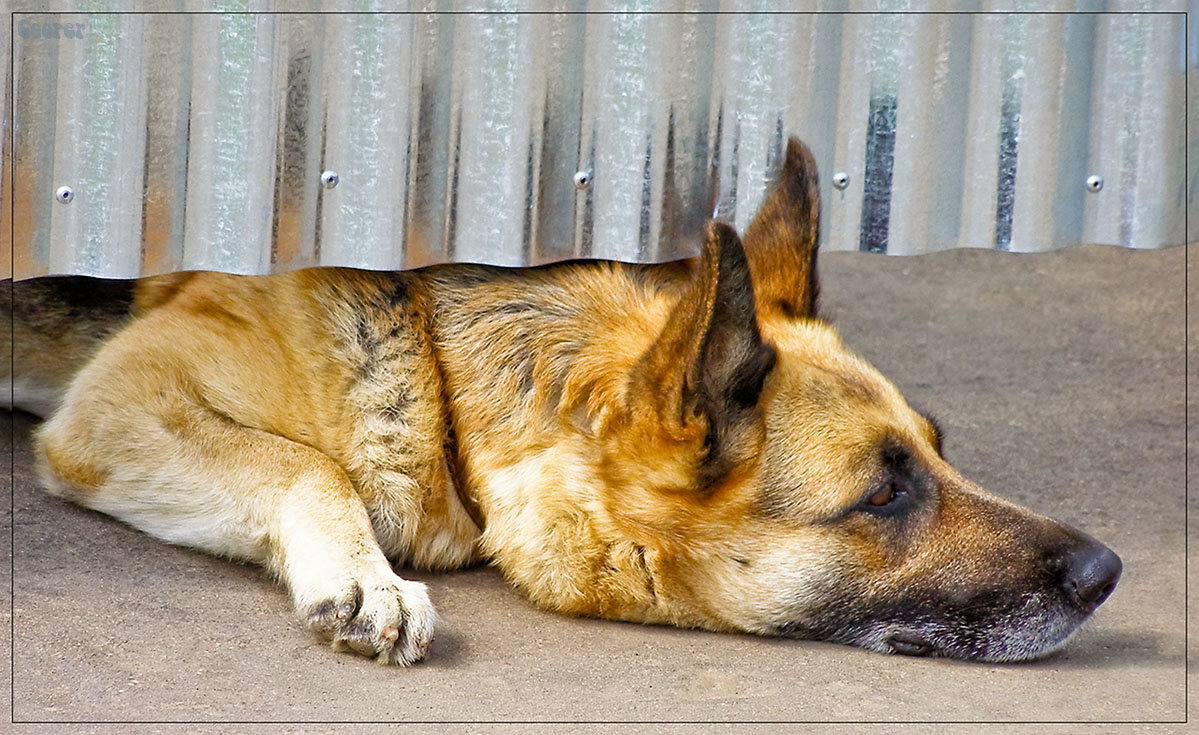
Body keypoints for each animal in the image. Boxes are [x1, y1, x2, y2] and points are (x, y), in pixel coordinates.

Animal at [7, 137, 1122, 666]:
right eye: (881, 497)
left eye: (937, 452)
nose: (1108, 571)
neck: (447, 397)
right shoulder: (120, 399)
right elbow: (309, 460)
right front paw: (366, 578)